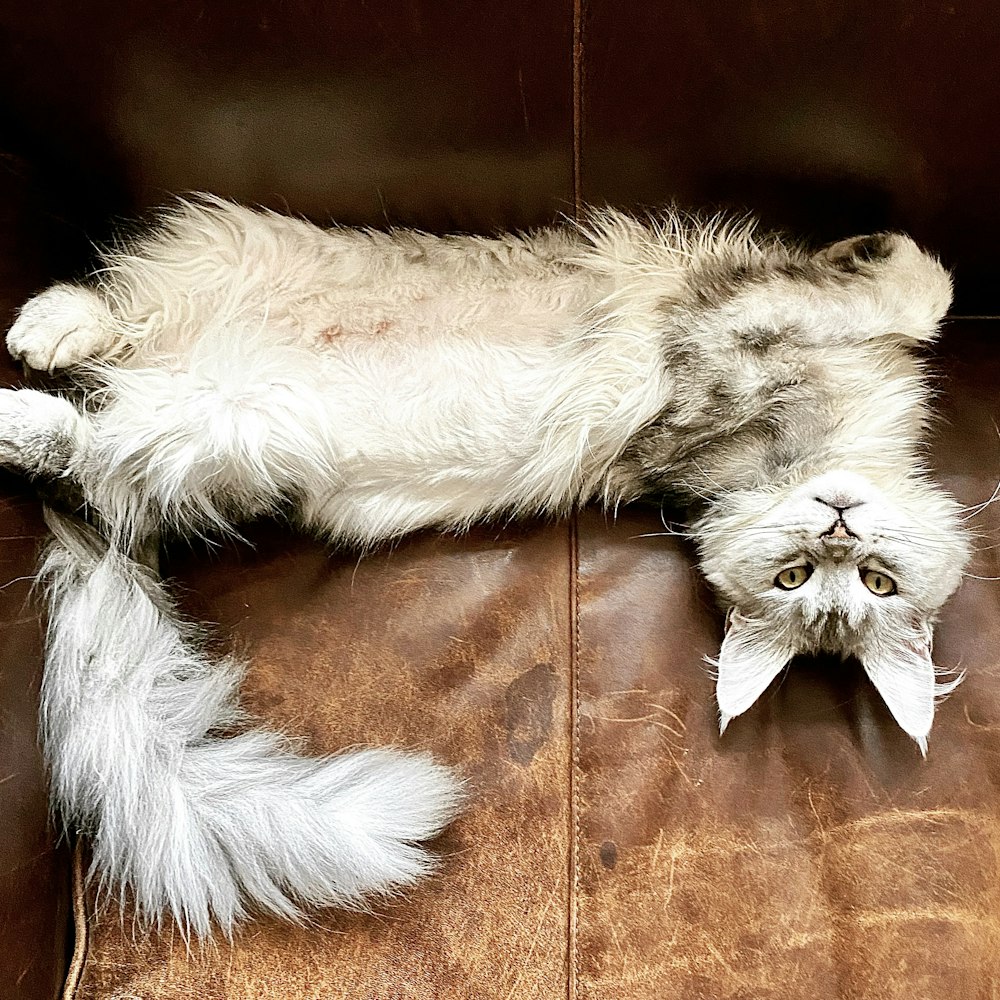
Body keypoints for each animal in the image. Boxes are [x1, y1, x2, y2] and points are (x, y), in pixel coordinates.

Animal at [0, 197, 968, 936]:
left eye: (868, 584)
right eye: (800, 576)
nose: (838, 528)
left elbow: (903, 295)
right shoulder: (739, 317)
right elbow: (919, 286)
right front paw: (878, 244)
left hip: (214, 439)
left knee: (86, 449)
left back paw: (22, 412)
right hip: (214, 277)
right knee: (111, 313)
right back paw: (44, 330)